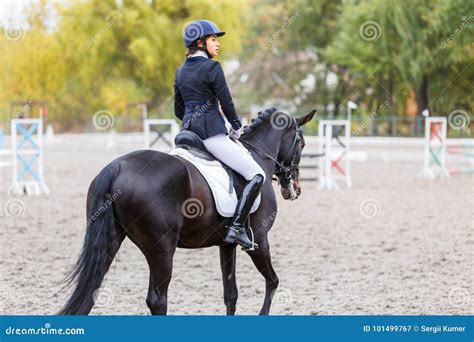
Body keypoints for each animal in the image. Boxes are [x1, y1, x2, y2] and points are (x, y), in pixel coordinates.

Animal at [60, 109, 314, 316]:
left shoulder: (227, 244)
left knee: (91, 292)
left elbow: (231, 294)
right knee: (157, 300)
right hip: (162, 249)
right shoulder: (259, 240)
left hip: (113, 241)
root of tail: (117, 167)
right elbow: (273, 282)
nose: (295, 189)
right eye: (301, 143)